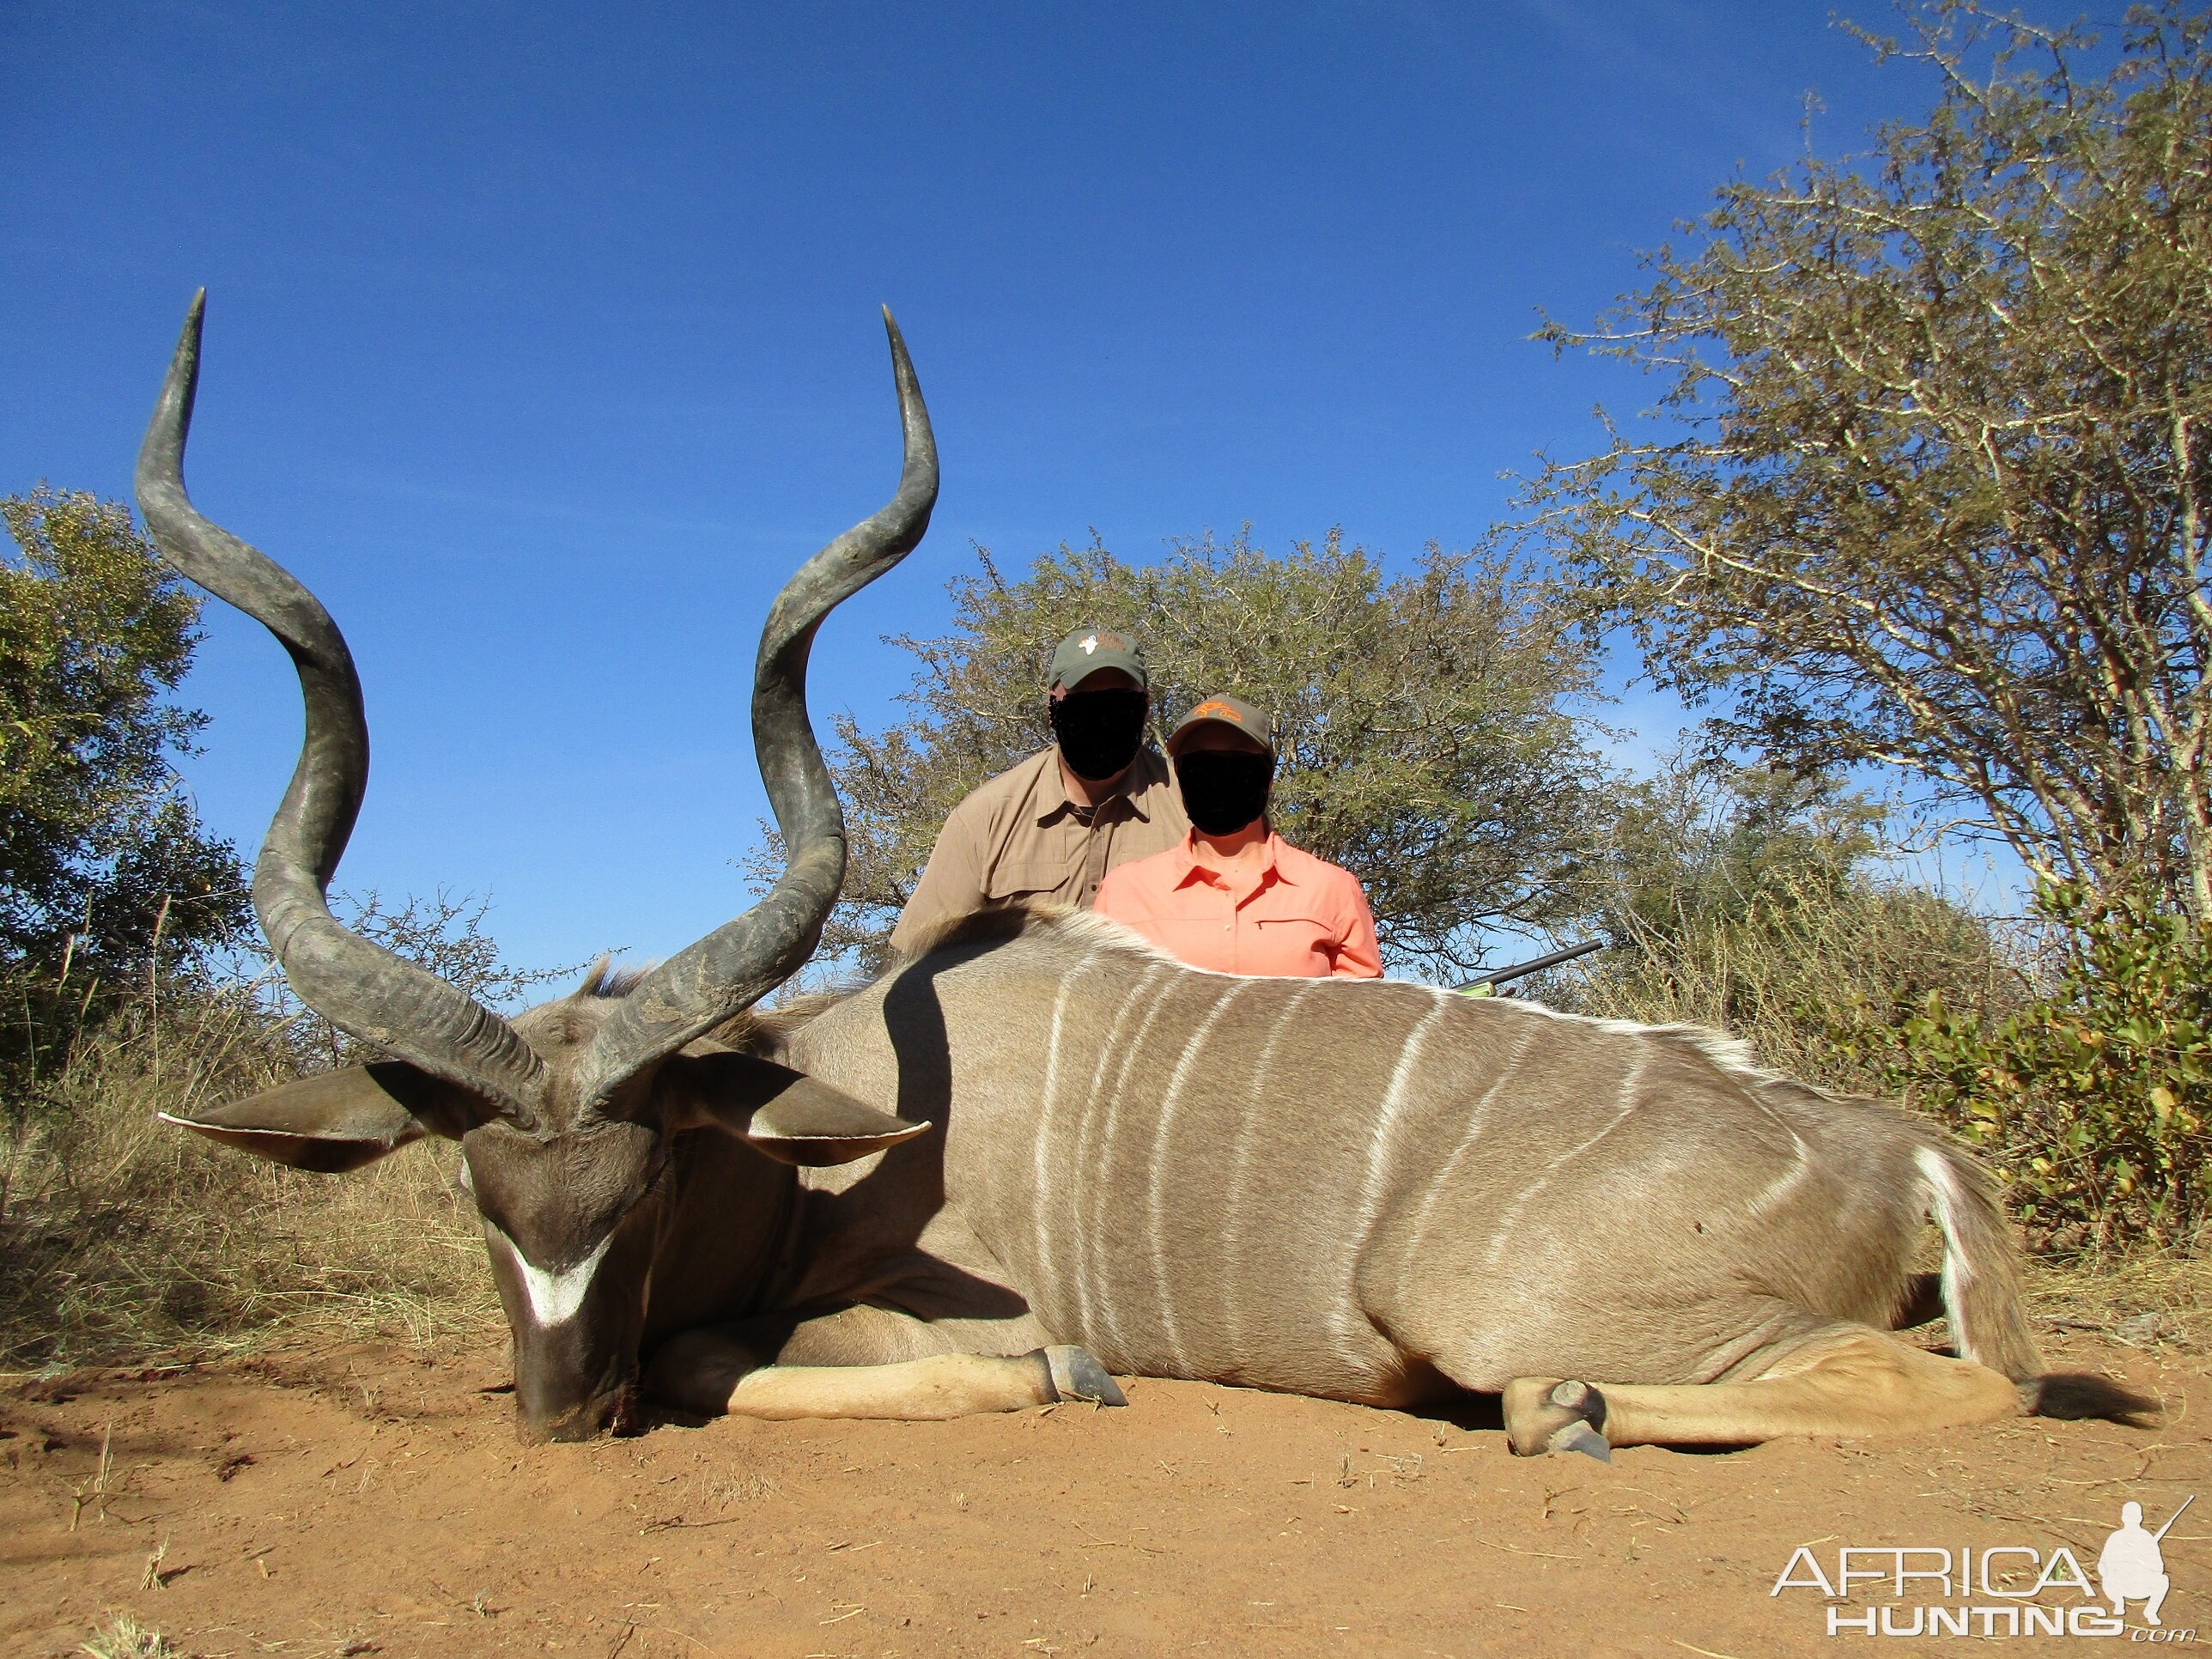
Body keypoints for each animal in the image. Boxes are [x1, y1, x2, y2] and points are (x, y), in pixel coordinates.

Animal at [143, 296, 2141, 1450]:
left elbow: (748, 1359)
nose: (565, 1412)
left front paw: (1060, 1377)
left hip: (1483, 1306)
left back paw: (1564, 1409)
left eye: (639, 1192)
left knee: (1959, 1387)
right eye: (480, 1198)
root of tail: (1911, 1154)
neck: (825, 1113)